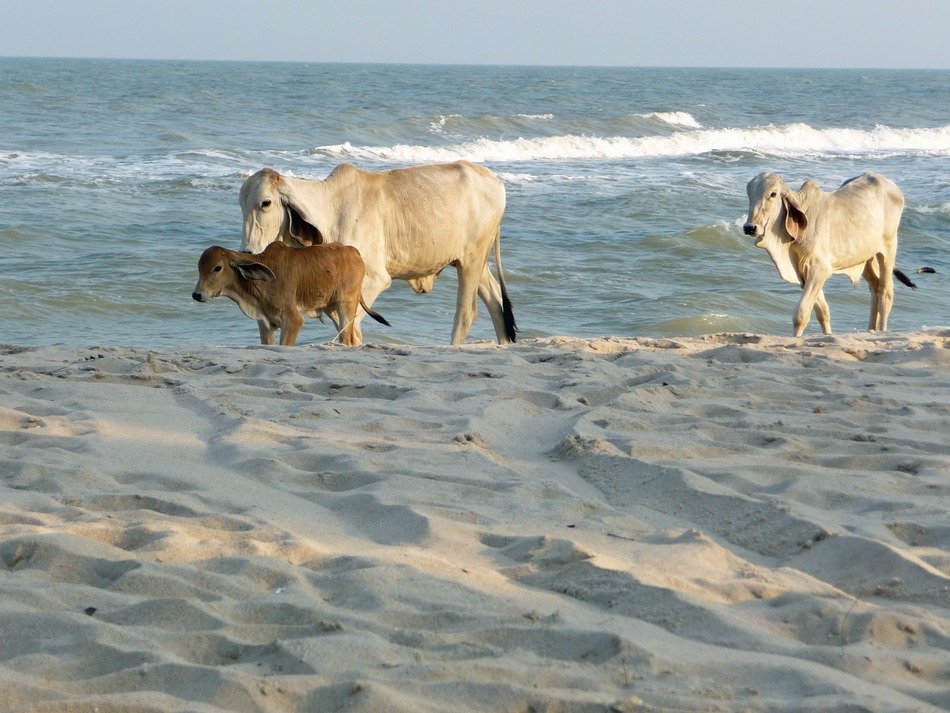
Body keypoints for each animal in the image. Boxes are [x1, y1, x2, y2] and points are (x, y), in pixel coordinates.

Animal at [192, 241, 390, 347]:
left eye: (217, 268)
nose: (197, 295)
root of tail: (352, 250)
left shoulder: (293, 321)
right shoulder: (265, 324)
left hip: (346, 305)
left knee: (347, 338)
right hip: (331, 309)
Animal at [239, 161, 516, 346]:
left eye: (265, 203)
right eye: (241, 204)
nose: (247, 251)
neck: (330, 210)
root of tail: (495, 181)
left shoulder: (373, 279)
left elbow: (349, 326)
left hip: (472, 260)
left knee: (466, 314)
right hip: (473, 261)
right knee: (497, 302)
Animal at [743, 172, 916, 336]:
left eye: (773, 194)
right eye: (749, 193)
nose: (749, 227)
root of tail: (891, 185)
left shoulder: (819, 269)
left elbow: (801, 314)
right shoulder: (804, 273)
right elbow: (823, 312)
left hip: (887, 249)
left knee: (886, 292)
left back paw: (881, 331)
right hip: (864, 258)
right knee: (875, 288)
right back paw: (871, 330)